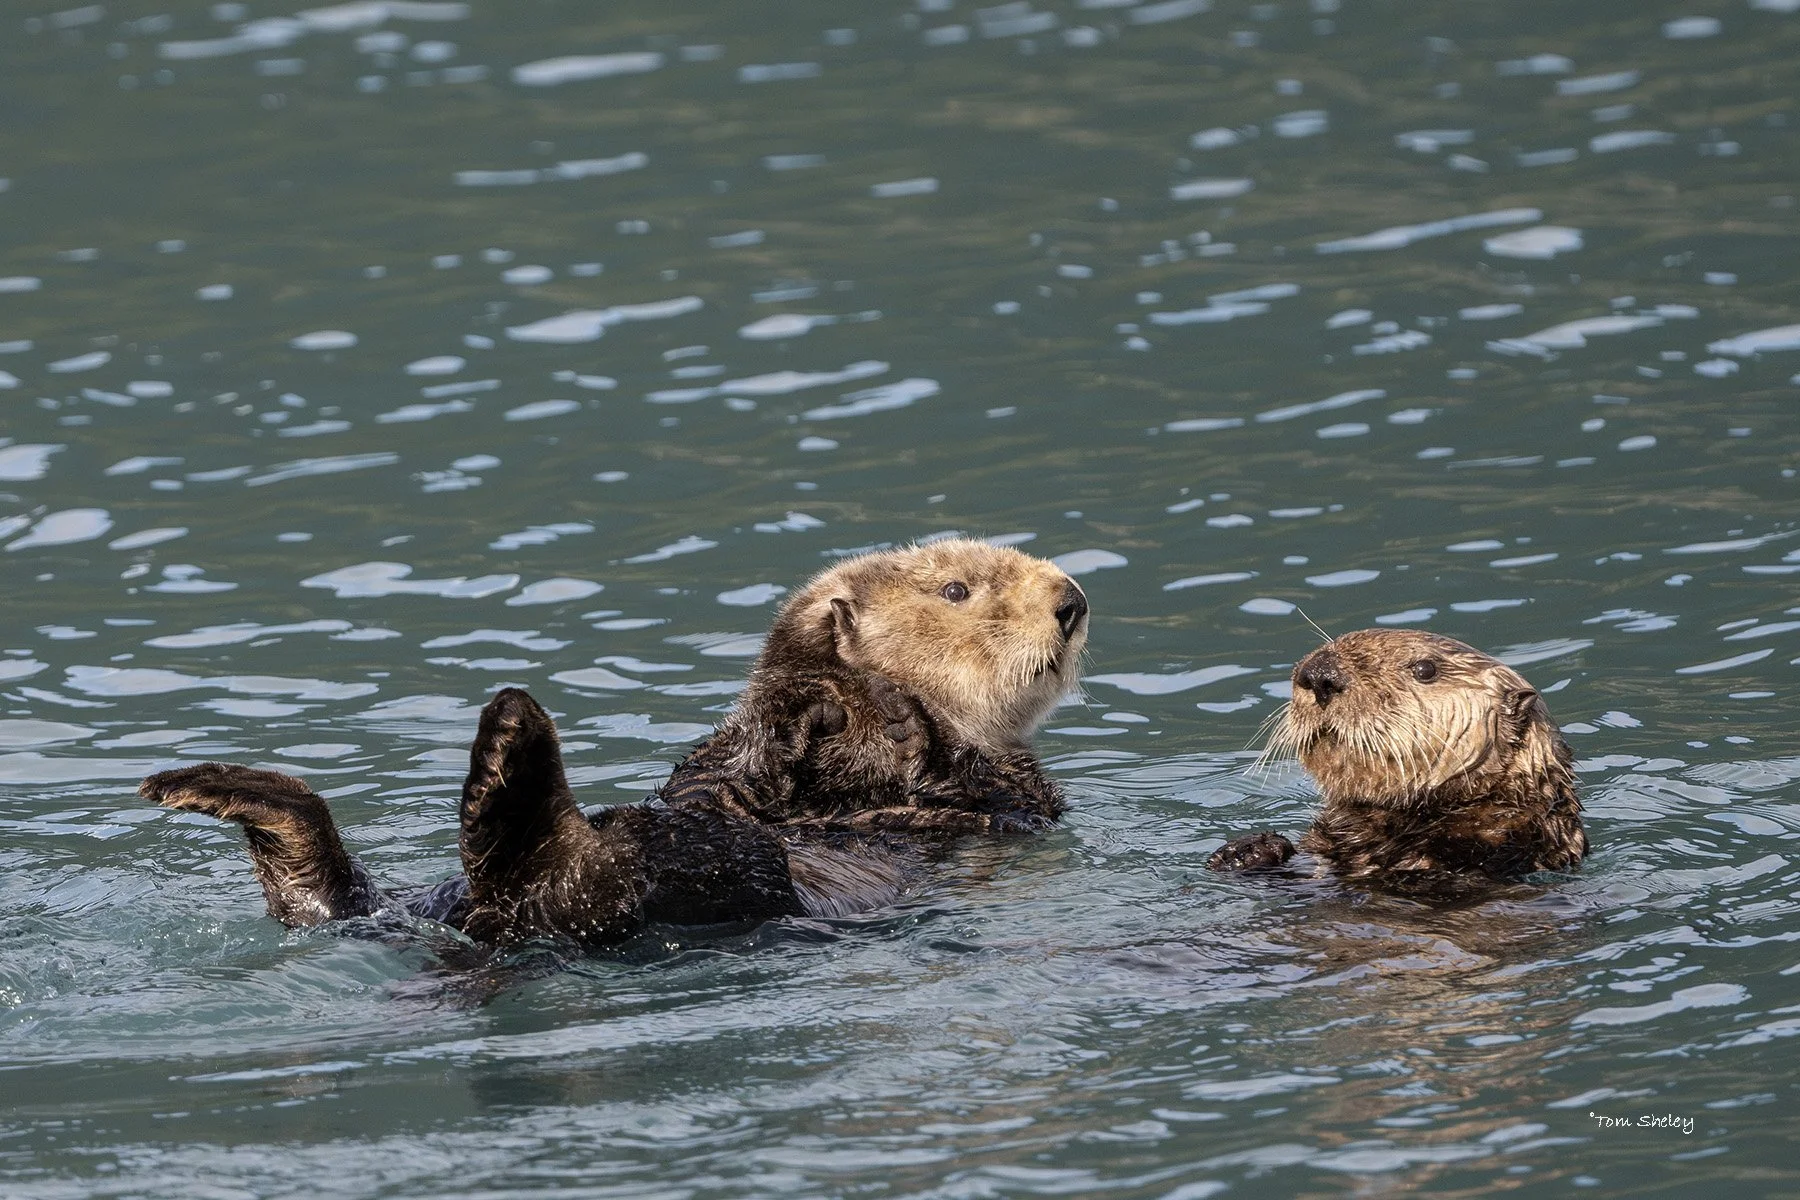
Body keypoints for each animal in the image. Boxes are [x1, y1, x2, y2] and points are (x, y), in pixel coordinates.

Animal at [144, 539, 1089, 948]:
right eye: (957, 589)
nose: (1070, 601)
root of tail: (488, 918)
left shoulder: (1015, 796)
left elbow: (974, 782)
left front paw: (903, 718)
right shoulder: (726, 767)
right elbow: (727, 762)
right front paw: (811, 706)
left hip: (704, 871)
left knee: (580, 867)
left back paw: (508, 762)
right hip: (421, 905)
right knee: (337, 900)